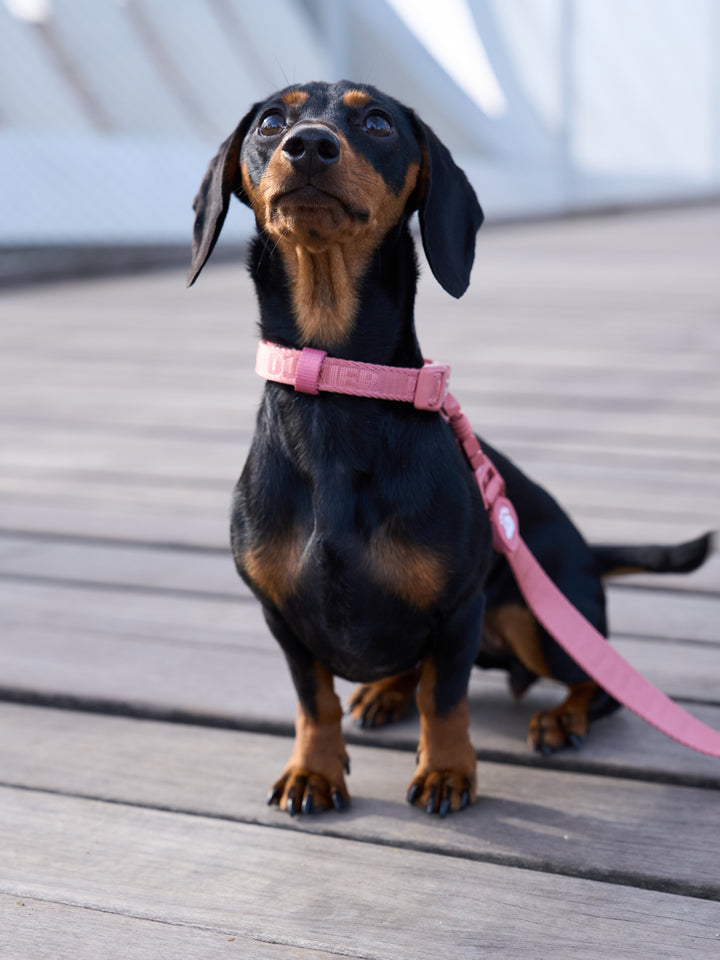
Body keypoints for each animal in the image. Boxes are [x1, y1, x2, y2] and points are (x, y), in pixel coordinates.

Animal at [188, 84, 712, 816]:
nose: (310, 145)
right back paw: (384, 691)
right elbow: (313, 700)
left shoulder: (460, 609)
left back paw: (561, 717)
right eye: (269, 122)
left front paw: (445, 770)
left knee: (600, 682)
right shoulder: (282, 617)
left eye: (377, 122)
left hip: (535, 621)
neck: (338, 384)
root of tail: (585, 552)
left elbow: (445, 697)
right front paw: (313, 771)